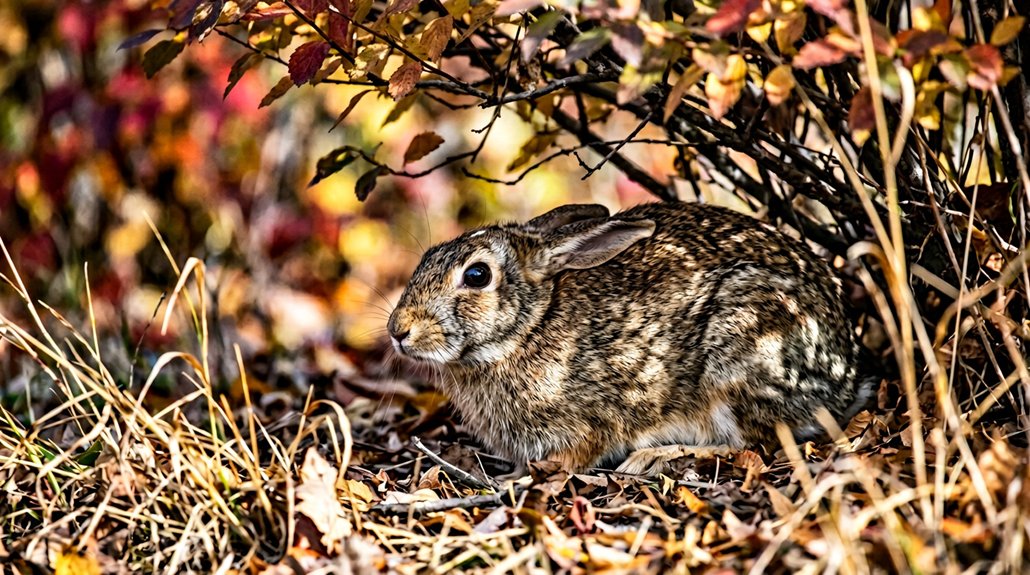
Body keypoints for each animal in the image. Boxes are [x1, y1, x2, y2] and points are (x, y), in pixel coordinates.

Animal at [387, 202, 878, 475]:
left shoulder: (590, 421)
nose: (399, 331)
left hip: (740, 350)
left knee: (750, 441)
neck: (529, 328)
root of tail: (846, 379)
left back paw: (654, 458)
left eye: (477, 275)